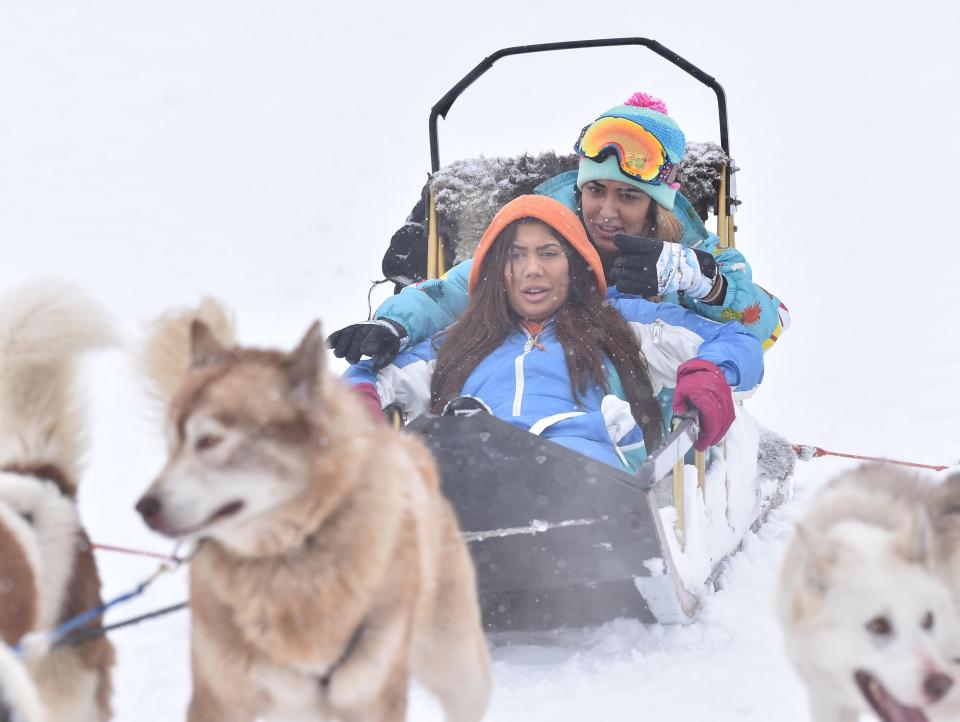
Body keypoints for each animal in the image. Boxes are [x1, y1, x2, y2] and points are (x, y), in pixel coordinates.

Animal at [135, 306, 492, 720]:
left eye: (210, 440)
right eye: (172, 443)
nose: (144, 507)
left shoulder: (371, 694)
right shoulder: (221, 697)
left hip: (459, 666)